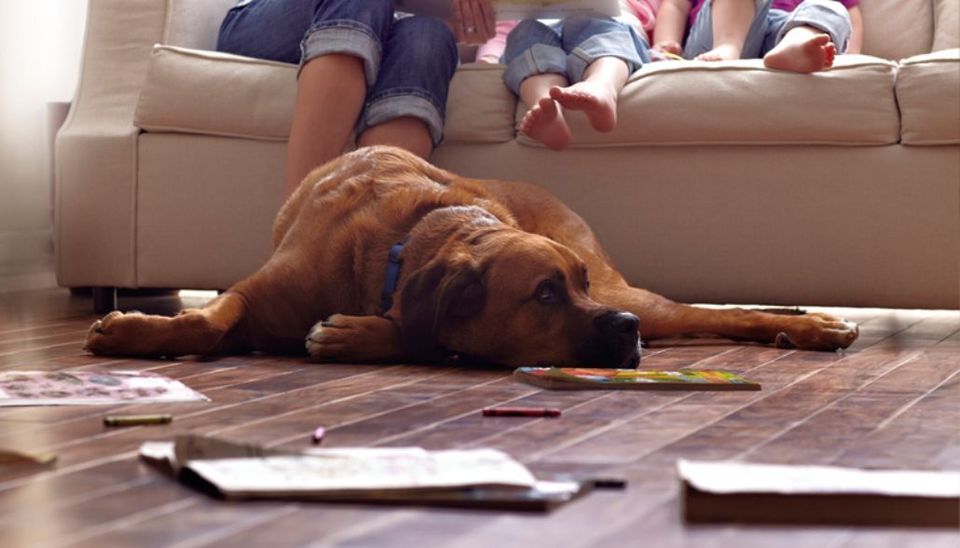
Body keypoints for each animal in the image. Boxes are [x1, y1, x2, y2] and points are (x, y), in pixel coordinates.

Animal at [82, 146, 860, 368]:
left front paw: (362, 334)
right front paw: (132, 330)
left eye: (574, 285)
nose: (626, 335)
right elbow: (207, 318)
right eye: (545, 293)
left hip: (639, 299)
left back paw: (815, 326)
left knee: (719, 313)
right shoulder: (252, 292)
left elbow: (421, 333)